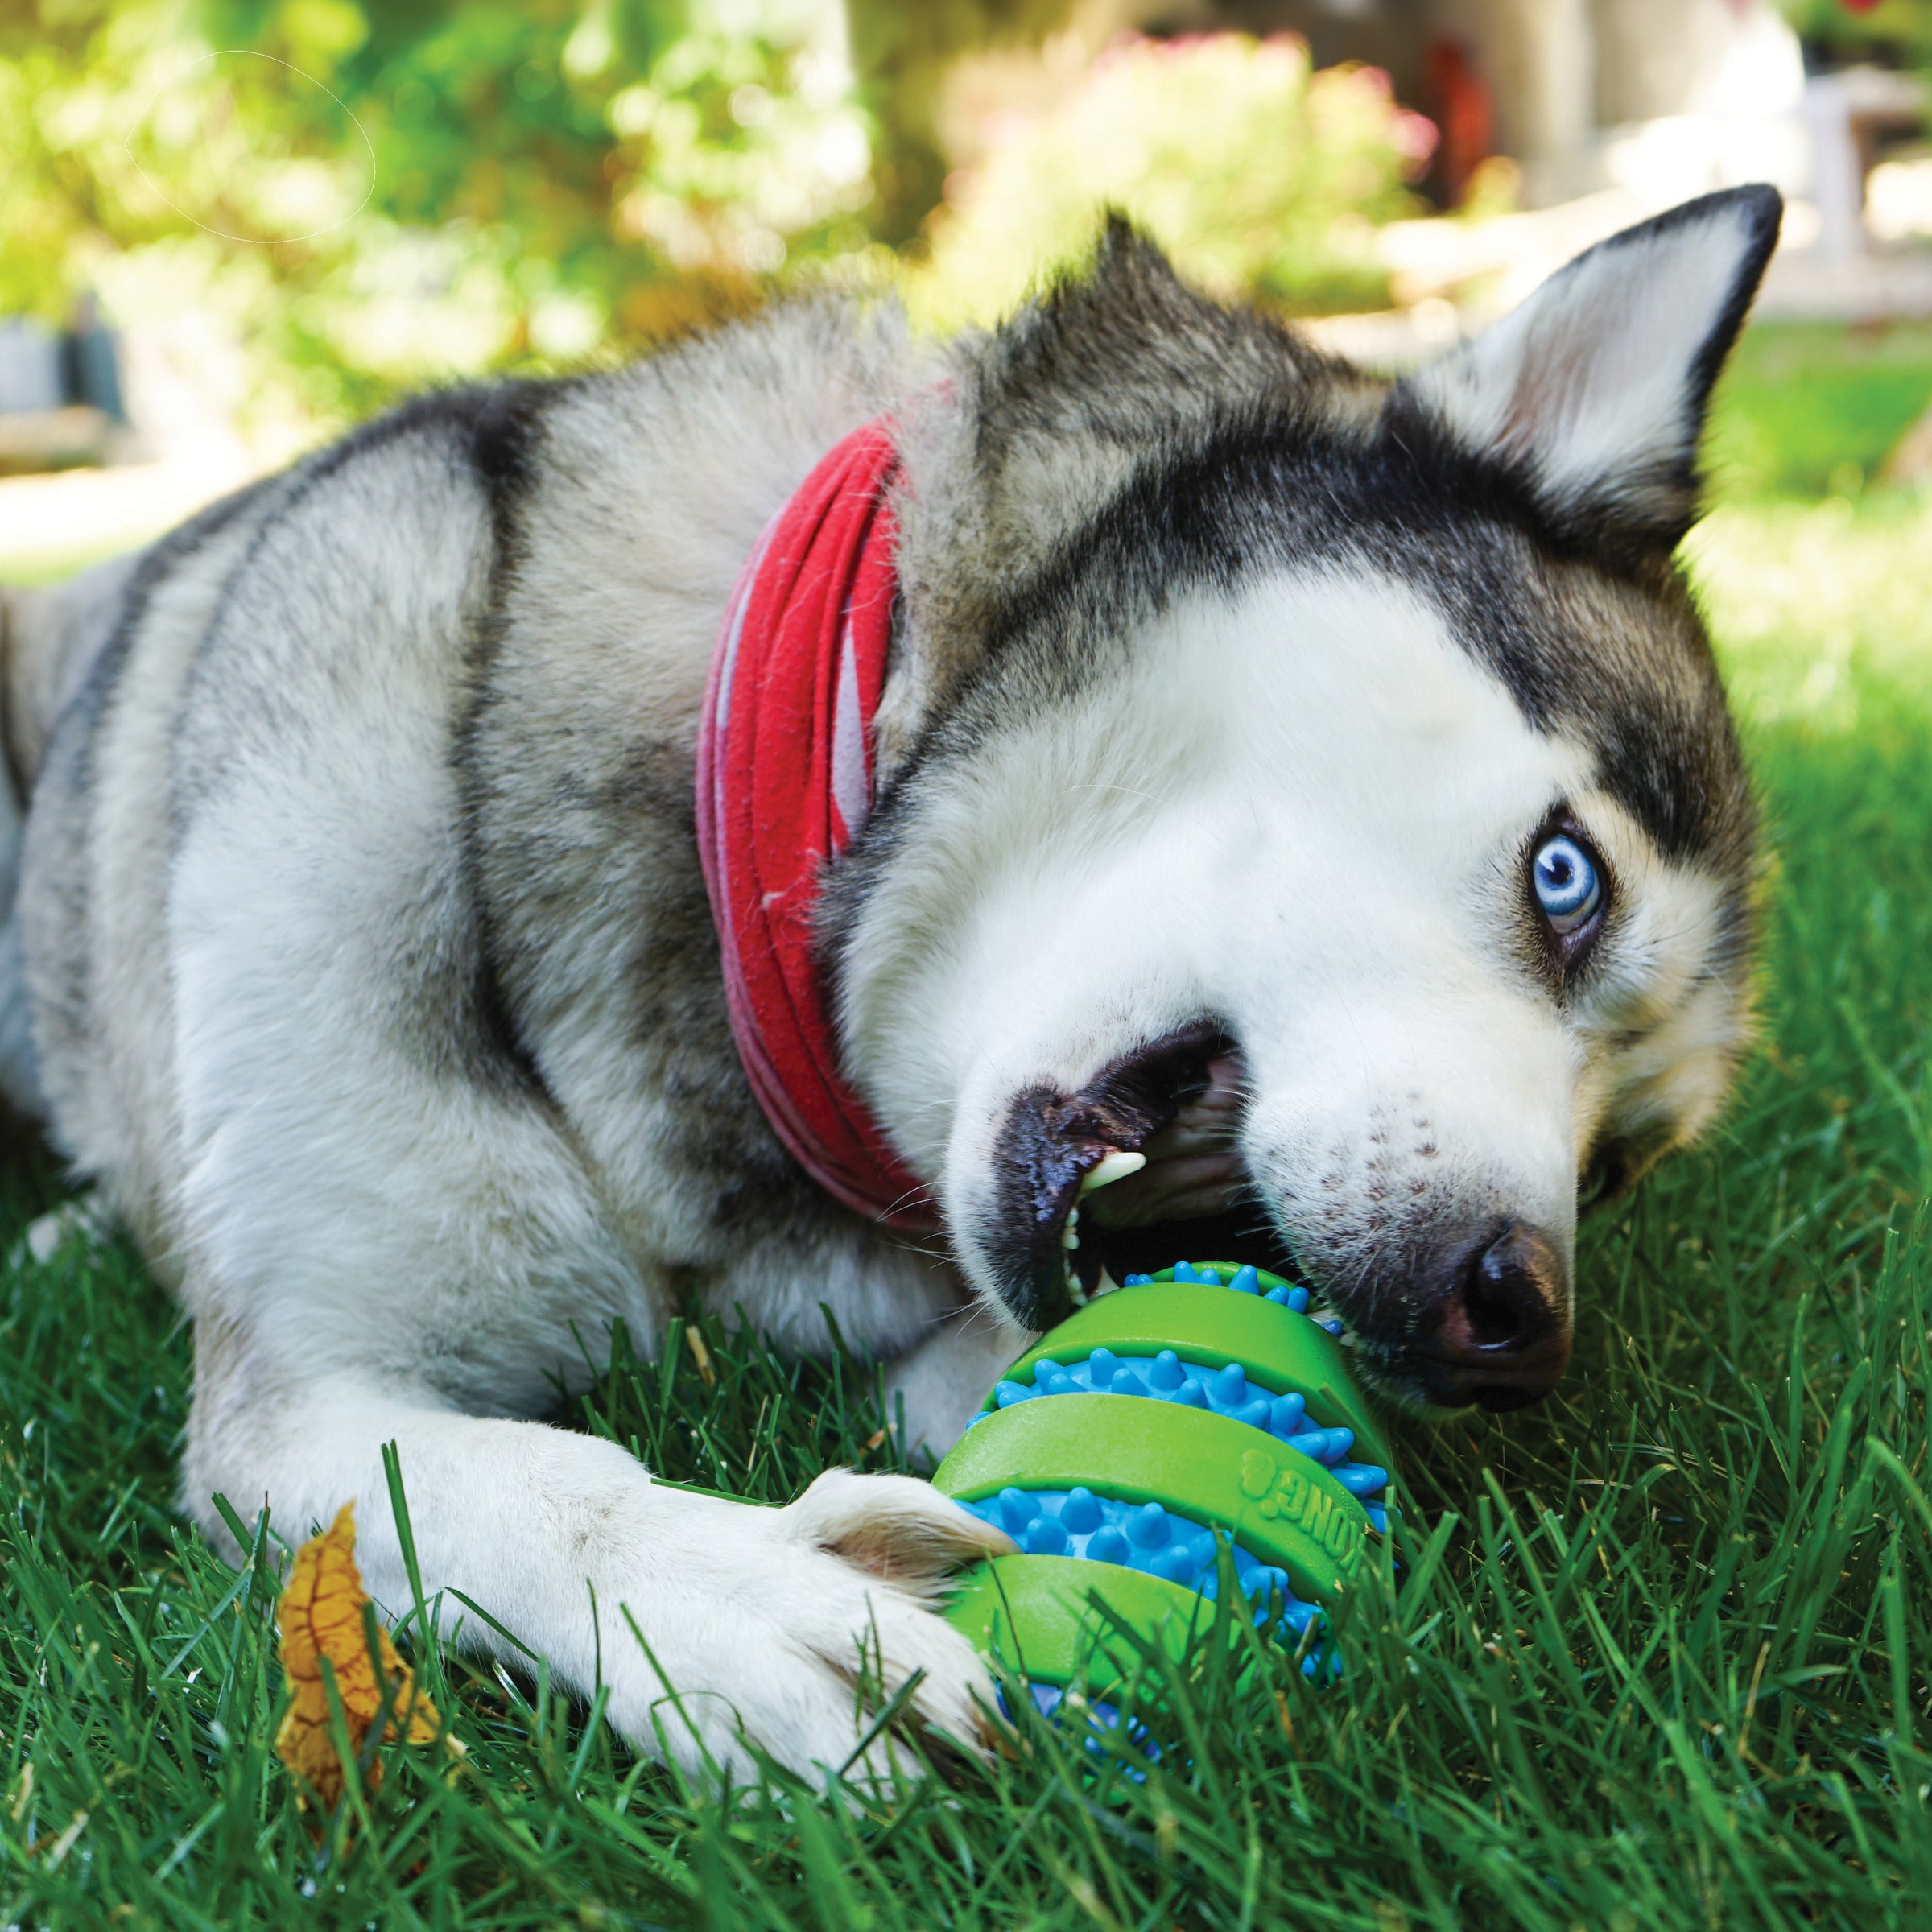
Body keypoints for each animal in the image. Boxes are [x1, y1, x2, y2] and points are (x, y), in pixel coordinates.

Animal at [0, 184, 1777, 1777]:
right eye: (1571, 883)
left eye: (1615, 1173)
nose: (1518, 1327)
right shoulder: (298, 1405)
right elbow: (507, 1478)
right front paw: (727, 1607)